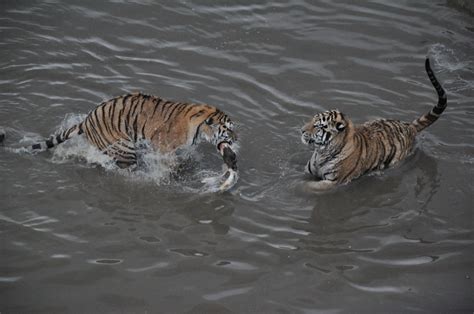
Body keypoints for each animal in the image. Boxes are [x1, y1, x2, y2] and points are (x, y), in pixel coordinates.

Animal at [13, 92, 239, 173]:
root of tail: (85, 121)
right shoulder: (162, 146)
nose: (237, 139)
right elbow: (170, 162)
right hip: (124, 149)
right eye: (228, 129)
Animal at [302, 58, 446, 191]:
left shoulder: (332, 182)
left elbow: (307, 186)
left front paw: (298, 187)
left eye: (318, 126)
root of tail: (409, 126)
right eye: (311, 120)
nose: (302, 131)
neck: (322, 152)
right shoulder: (308, 171)